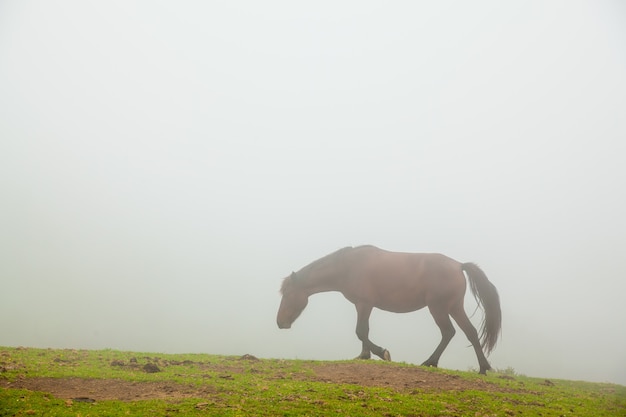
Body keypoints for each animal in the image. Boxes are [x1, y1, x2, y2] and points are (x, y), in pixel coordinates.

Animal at [276, 244, 500, 374]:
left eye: (287, 294)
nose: (280, 322)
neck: (348, 267)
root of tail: (458, 265)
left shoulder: (364, 304)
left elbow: (361, 331)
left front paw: (382, 353)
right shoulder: (362, 306)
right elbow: (364, 331)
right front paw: (364, 356)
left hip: (438, 308)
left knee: (448, 332)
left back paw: (430, 362)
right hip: (454, 307)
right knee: (470, 332)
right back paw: (483, 368)